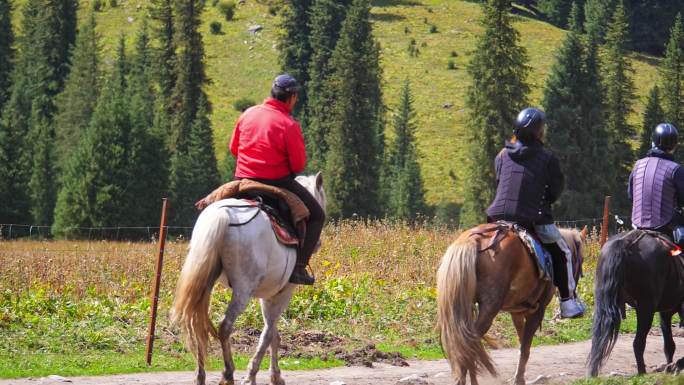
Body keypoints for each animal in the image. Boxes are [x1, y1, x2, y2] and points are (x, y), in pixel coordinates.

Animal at [175, 173, 328, 384]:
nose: (319, 243)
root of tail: (222, 215)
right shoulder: (283, 292)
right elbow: (268, 333)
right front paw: (253, 375)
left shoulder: (268, 293)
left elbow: (273, 333)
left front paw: (275, 375)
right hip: (243, 289)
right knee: (225, 326)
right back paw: (228, 373)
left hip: (205, 282)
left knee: (196, 322)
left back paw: (200, 375)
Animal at [592, 230, 684, 374]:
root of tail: (627, 241)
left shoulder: (665, 312)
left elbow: (669, 344)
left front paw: (670, 367)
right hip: (646, 308)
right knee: (638, 343)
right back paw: (642, 372)